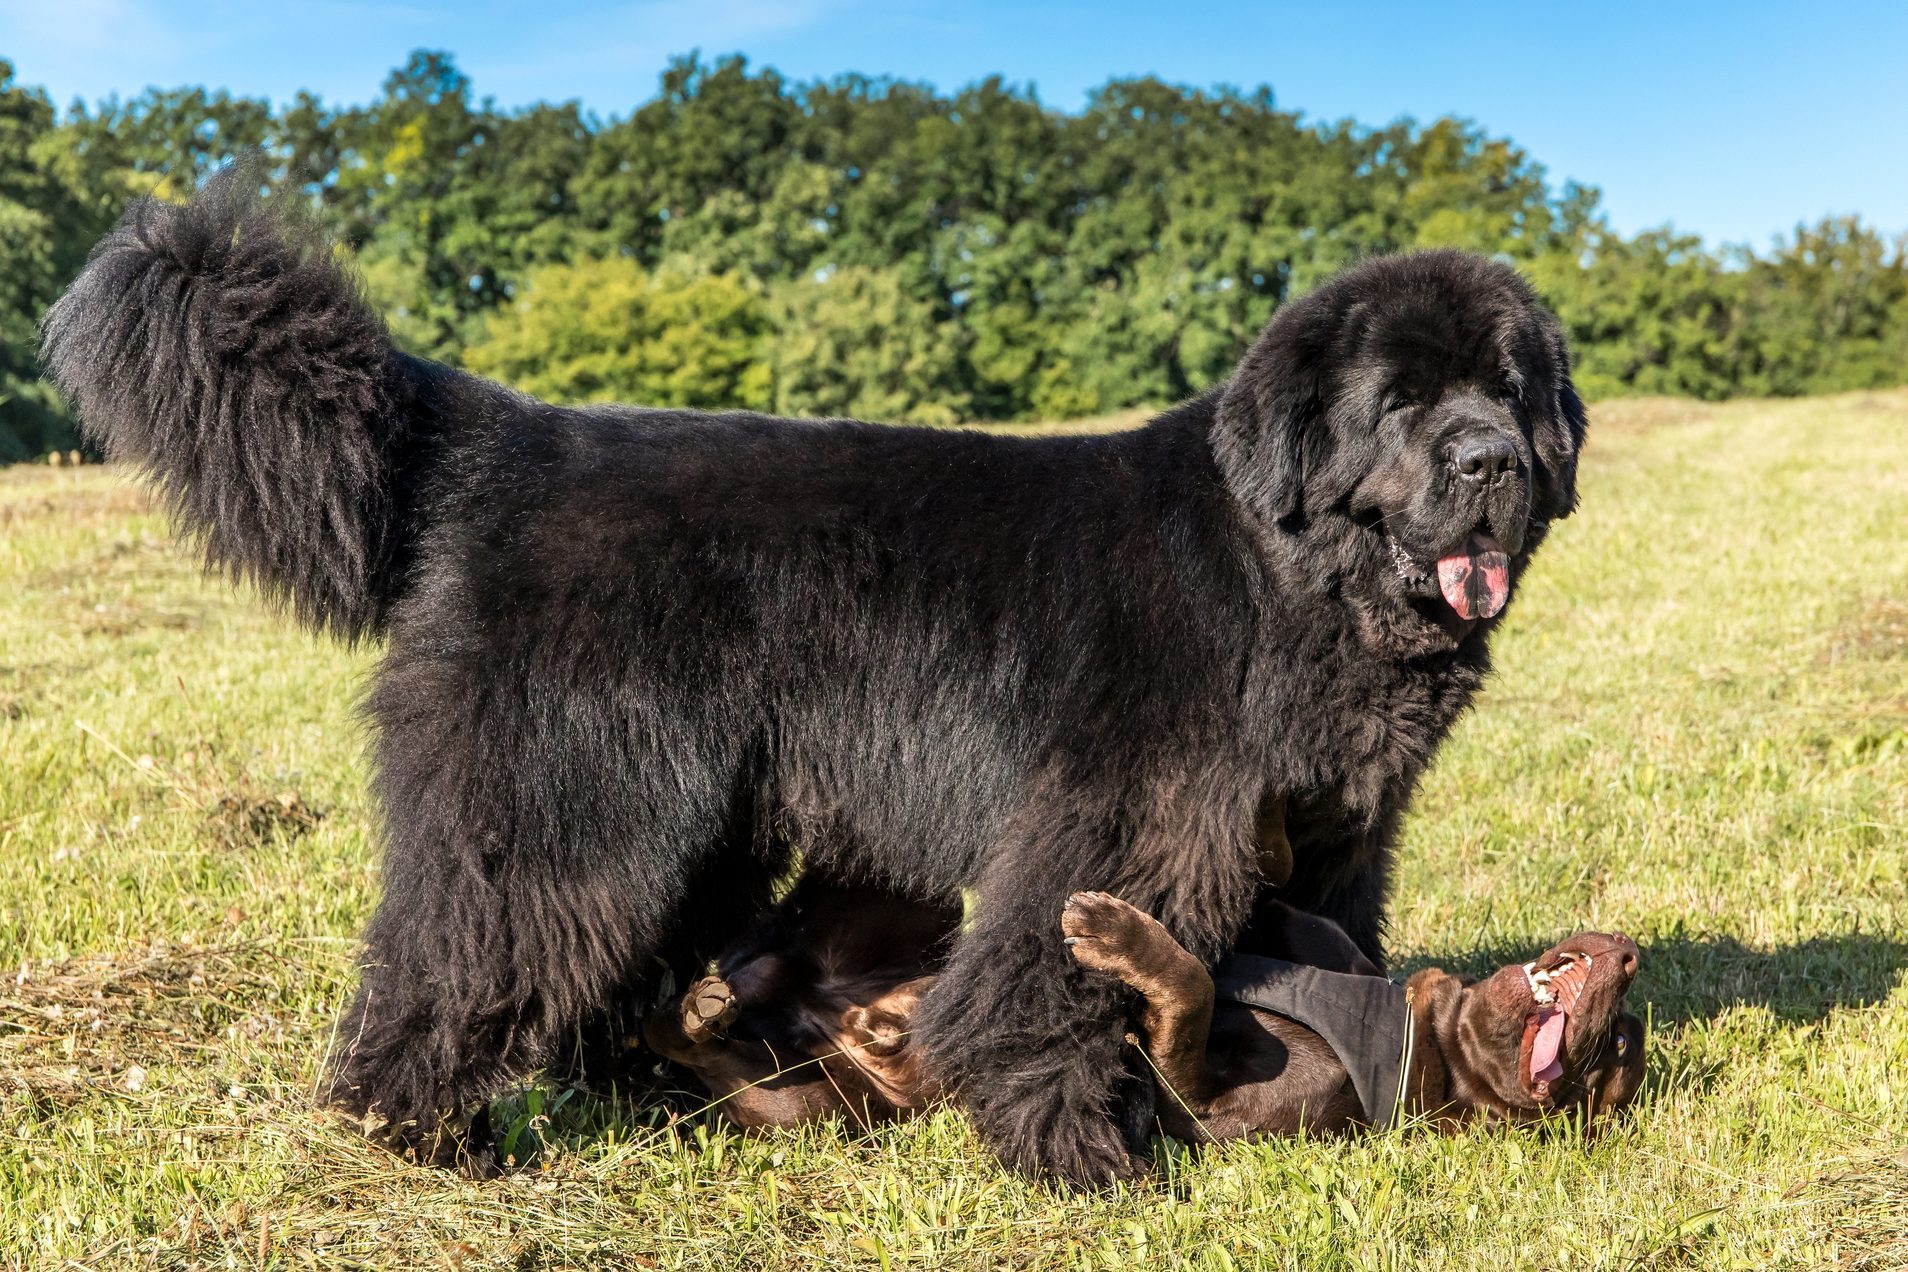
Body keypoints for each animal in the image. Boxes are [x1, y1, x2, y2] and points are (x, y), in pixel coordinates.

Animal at [641, 884, 1640, 1144]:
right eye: (1627, 1044)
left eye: (1609, 1062)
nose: (1630, 958)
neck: (1410, 1035)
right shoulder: (1327, 942)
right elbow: (1280, 912)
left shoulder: (1203, 1105)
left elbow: (1191, 988)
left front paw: (1121, 936)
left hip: (811, 1109)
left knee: (722, 1069)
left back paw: (694, 1013)